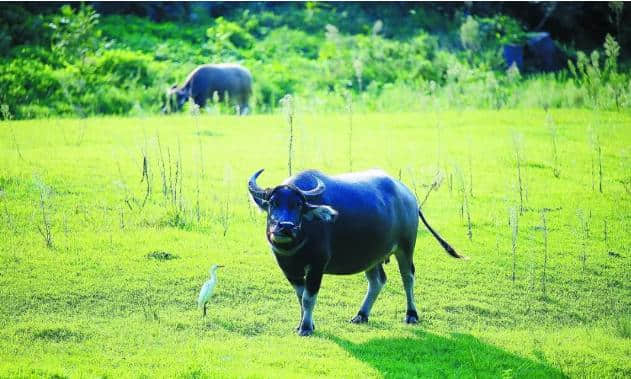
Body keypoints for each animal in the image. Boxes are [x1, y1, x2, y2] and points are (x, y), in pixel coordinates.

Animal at [248, 169, 464, 338]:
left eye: (298, 205)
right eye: (273, 203)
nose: (285, 227)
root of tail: (409, 195)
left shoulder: (317, 265)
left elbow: (309, 297)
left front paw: (306, 328)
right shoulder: (288, 269)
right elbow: (300, 298)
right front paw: (304, 323)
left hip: (405, 246)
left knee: (407, 277)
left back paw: (411, 315)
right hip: (372, 256)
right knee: (377, 281)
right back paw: (361, 314)